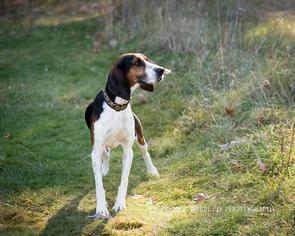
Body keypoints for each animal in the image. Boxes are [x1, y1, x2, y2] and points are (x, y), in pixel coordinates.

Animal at [84, 52, 171, 218]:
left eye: (148, 60)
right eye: (137, 63)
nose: (161, 70)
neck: (117, 107)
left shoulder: (127, 151)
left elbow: (123, 180)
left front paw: (119, 204)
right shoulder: (95, 151)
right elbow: (99, 184)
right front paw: (101, 208)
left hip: (140, 138)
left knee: (145, 153)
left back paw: (152, 171)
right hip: (100, 145)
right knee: (107, 153)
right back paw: (105, 169)